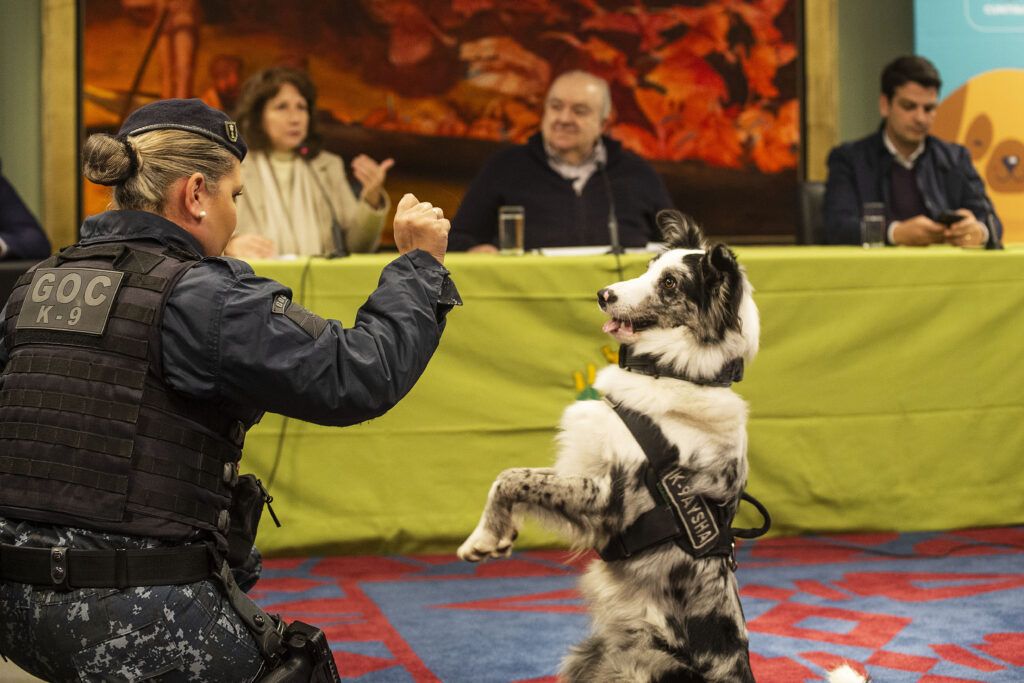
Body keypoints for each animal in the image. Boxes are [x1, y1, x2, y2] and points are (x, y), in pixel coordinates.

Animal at [458, 210, 762, 682]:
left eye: (670, 283)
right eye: (650, 267)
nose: (604, 294)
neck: (672, 372)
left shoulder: (606, 499)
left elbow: (515, 479)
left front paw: (486, 540)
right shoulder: (582, 470)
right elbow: (506, 478)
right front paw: (488, 535)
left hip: (639, 662)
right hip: (588, 655)